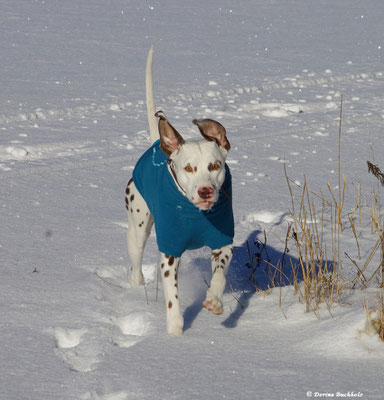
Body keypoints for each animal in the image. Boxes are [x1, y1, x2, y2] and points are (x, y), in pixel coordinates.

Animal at [126, 50, 234, 338]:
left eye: (214, 166)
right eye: (188, 168)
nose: (205, 190)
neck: (195, 214)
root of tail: (157, 141)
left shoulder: (223, 242)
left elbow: (220, 274)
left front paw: (215, 300)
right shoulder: (170, 252)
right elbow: (172, 297)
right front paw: (175, 333)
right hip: (138, 226)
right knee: (136, 260)